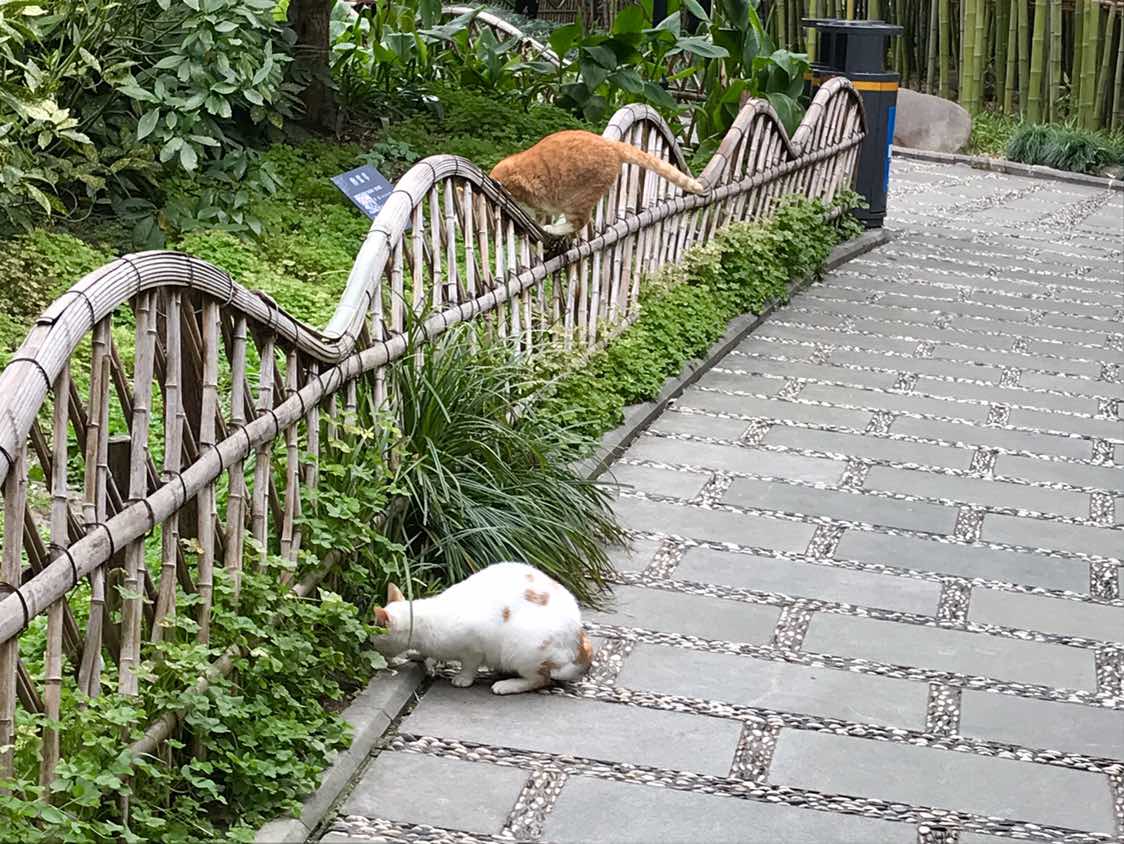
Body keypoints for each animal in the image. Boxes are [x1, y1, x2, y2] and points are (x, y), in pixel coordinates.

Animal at [371, 562, 594, 695]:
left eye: (375, 636)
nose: (370, 644)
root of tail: (579, 636)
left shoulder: (474, 647)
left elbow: (470, 664)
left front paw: (462, 679)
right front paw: (420, 657)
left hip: (522, 649)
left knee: (541, 679)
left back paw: (506, 685)